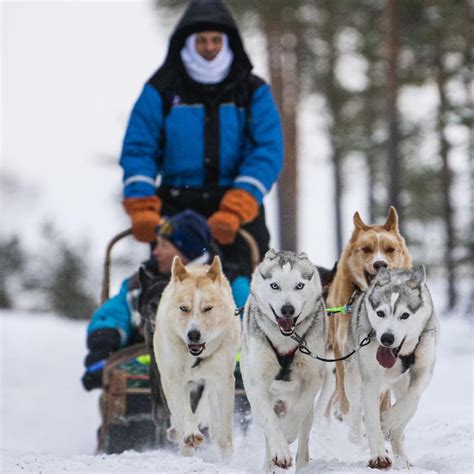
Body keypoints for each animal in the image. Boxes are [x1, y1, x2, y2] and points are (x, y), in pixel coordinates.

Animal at [153, 256, 241, 460]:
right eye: (184, 308)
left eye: (208, 308)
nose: (193, 334)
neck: (196, 357)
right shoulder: (173, 378)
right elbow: (183, 411)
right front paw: (190, 434)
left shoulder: (222, 379)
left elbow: (222, 425)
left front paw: (229, 458)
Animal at [241, 250, 326, 468]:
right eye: (275, 285)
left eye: (299, 285)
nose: (287, 309)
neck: (285, 341)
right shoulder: (257, 384)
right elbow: (270, 421)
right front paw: (280, 450)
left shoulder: (312, 378)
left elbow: (298, 409)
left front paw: (287, 431)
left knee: (304, 434)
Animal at [342, 268, 438, 468]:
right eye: (380, 313)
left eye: (405, 315)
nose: (387, 338)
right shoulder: (370, 379)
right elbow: (371, 421)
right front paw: (379, 455)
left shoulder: (424, 371)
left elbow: (411, 399)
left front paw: (386, 421)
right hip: (353, 377)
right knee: (356, 407)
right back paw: (356, 434)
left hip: (402, 386)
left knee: (404, 417)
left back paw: (402, 457)